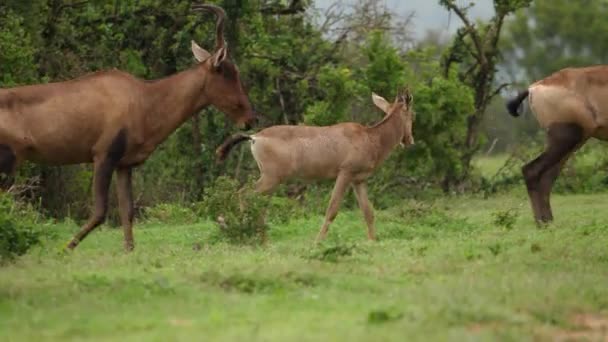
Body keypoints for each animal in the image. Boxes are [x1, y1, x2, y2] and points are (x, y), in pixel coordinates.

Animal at [0, 4, 254, 251]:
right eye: (228, 72)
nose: (250, 119)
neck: (142, 98)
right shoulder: (103, 157)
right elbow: (100, 212)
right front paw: (65, 248)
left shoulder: (124, 165)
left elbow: (127, 210)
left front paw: (128, 250)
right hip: (8, 162)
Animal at [215, 89, 414, 242]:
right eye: (412, 114)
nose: (409, 141)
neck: (369, 136)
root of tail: (255, 137)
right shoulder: (345, 174)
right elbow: (332, 208)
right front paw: (317, 241)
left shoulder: (358, 180)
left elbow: (368, 211)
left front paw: (373, 241)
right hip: (271, 178)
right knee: (244, 194)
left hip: (271, 181)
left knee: (259, 204)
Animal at [506, 65, 608, 223]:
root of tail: (534, 87)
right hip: (566, 140)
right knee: (531, 170)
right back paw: (541, 222)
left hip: (569, 144)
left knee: (547, 177)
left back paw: (549, 221)